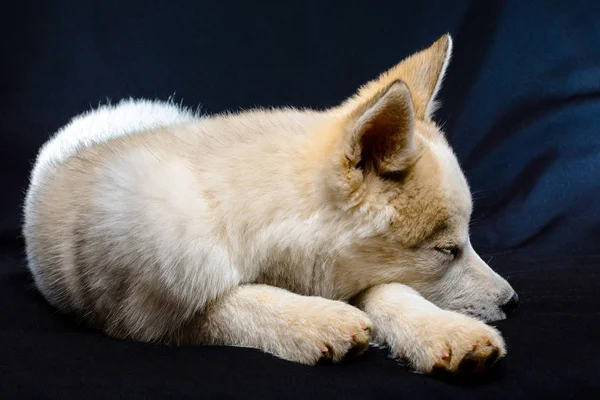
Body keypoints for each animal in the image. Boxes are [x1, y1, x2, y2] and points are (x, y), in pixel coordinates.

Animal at [25, 34, 516, 376]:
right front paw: (314, 319)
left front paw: (441, 330)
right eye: (446, 250)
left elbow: (391, 291)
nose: (512, 302)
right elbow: (238, 300)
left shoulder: (351, 271)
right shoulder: (146, 318)